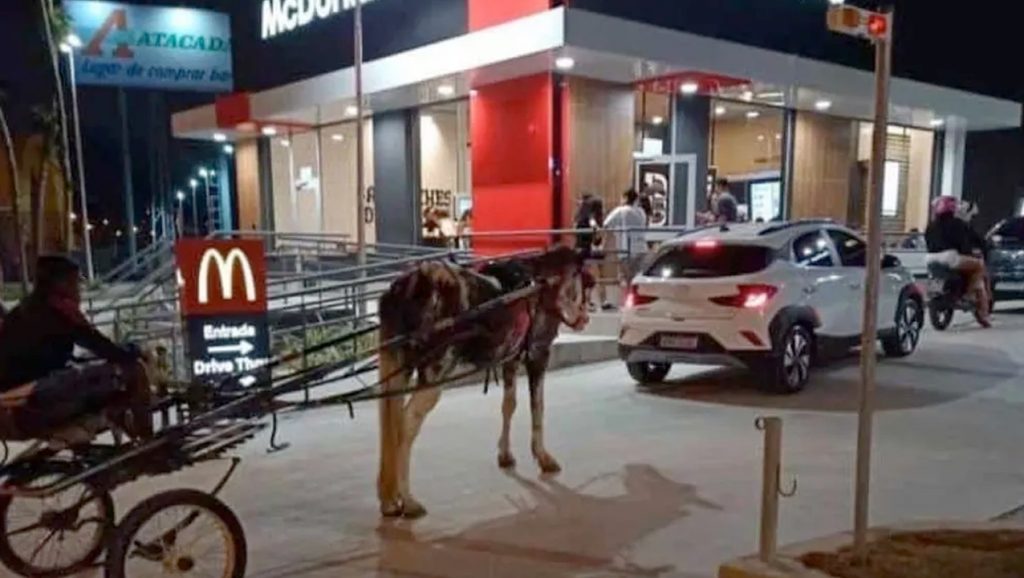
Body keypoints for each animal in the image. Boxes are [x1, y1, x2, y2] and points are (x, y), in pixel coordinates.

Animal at [376, 245, 593, 516]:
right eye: (585, 281)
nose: (586, 318)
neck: (544, 283)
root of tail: (407, 285)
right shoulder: (538, 353)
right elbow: (538, 408)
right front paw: (543, 457)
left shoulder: (510, 358)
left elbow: (509, 405)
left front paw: (505, 454)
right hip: (435, 371)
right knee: (406, 423)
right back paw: (408, 500)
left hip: (398, 366)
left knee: (391, 419)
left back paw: (389, 499)